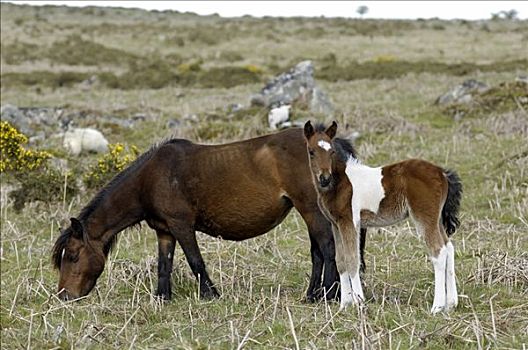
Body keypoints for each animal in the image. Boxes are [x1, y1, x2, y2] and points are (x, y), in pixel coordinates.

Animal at [52, 127, 368, 302]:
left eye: (73, 255)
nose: (65, 296)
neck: (152, 178)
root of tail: (331, 146)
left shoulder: (182, 225)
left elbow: (195, 261)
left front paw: (210, 294)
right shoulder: (164, 230)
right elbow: (164, 264)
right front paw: (162, 297)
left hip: (311, 210)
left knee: (327, 249)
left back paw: (327, 295)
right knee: (319, 252)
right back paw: (313, 294)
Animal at [306, 121, 462, 314]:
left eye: (331, 151)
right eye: (311, 151)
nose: (325, 178)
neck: (340, 183)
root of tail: (442, 173)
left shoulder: (350, 221)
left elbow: (352, 259)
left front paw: (359, 302)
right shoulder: (336, 224)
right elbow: (340, 261)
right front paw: (344, 305)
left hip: (425, 217)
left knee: (438, 252)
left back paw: (437, 306)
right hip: (437, 219)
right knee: (449, 248)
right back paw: (451, 304)